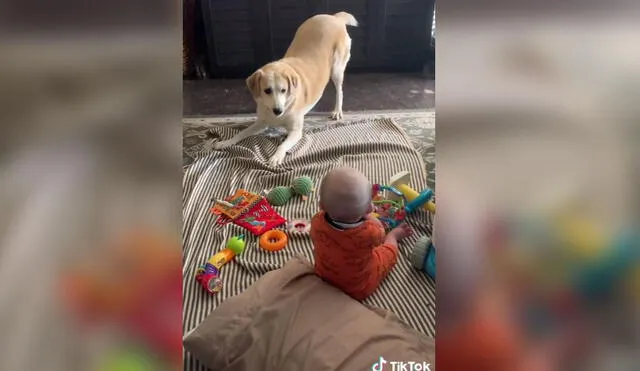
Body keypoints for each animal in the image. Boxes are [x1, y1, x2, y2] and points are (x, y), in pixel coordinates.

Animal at [214, 11, 356, 166]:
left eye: (284, 90)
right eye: (267, 90)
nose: (278, 111)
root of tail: (334, 17)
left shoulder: (296, 132)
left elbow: (282, 145)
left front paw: (276, 156)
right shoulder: (261, 123)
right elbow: (241, 133)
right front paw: (226, 142)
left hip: (336, 69)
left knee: (339, 91)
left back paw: (337, 111)